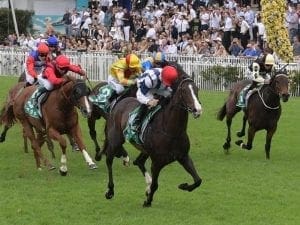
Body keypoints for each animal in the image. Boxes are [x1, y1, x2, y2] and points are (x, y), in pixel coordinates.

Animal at [98, 62, 204, 207]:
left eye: (196, 89)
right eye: (184, 91)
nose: (198, 110)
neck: (172, 132)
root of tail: (119, 103)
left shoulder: (183, 157)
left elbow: (198, 180)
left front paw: (184, 186)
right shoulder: (157, 162)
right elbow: (155, 185)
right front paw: (147, 201)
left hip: (145, 149)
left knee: (138, 162)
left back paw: (146, 185)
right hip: (115, 139)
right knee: (109, 161)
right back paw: (110, 190)